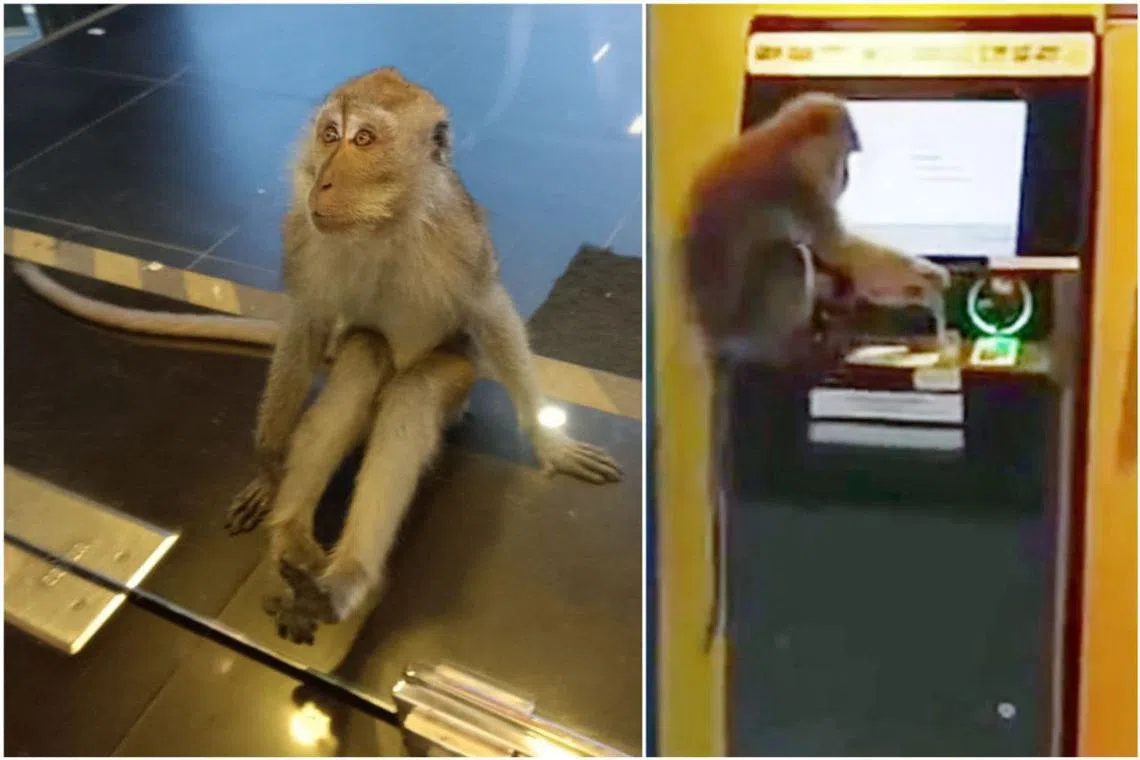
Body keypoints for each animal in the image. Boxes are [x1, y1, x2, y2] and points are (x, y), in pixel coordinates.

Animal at [12, 67, 624, 642]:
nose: (323, 182)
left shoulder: (462, 241)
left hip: (458, 384)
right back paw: (294, 539)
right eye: (330, 134)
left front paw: (550, 441)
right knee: (362, 354)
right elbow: (305, 323)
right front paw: (268, 467)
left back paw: (344, 579)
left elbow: (491, 314)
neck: (383, 224)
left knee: (415, 390)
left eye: (364, 140)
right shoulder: (302, 235)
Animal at [678, 92, 952, 647]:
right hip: (755, 319)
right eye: (845, 156)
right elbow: (837, 249)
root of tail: (719, 338)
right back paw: (797, 345)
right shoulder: (797, 190)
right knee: (788, 258)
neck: (781, 139)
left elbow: (840, 260)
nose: (845, 176)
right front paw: (929, 277)